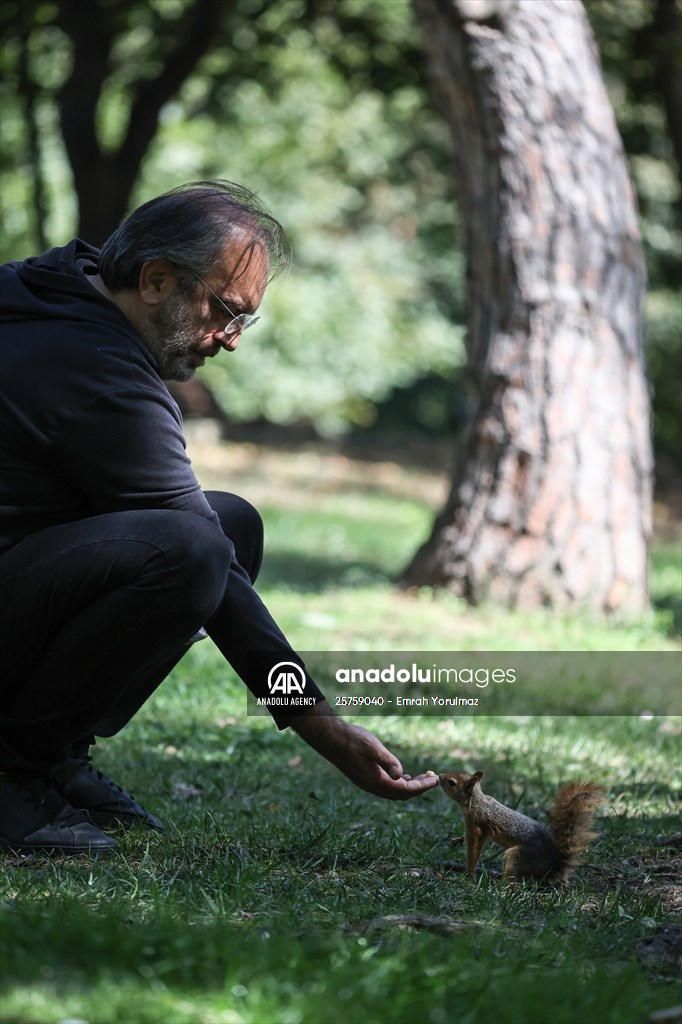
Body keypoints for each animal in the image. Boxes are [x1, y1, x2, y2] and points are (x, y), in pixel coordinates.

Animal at [438, 770, 604, 882]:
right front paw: (458, 840)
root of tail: (551, 870)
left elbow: (474, 849)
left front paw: (470, 875)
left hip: (519, 855)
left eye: (451, 782)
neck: (476, 800)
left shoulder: (476, 824)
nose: (439, 776)